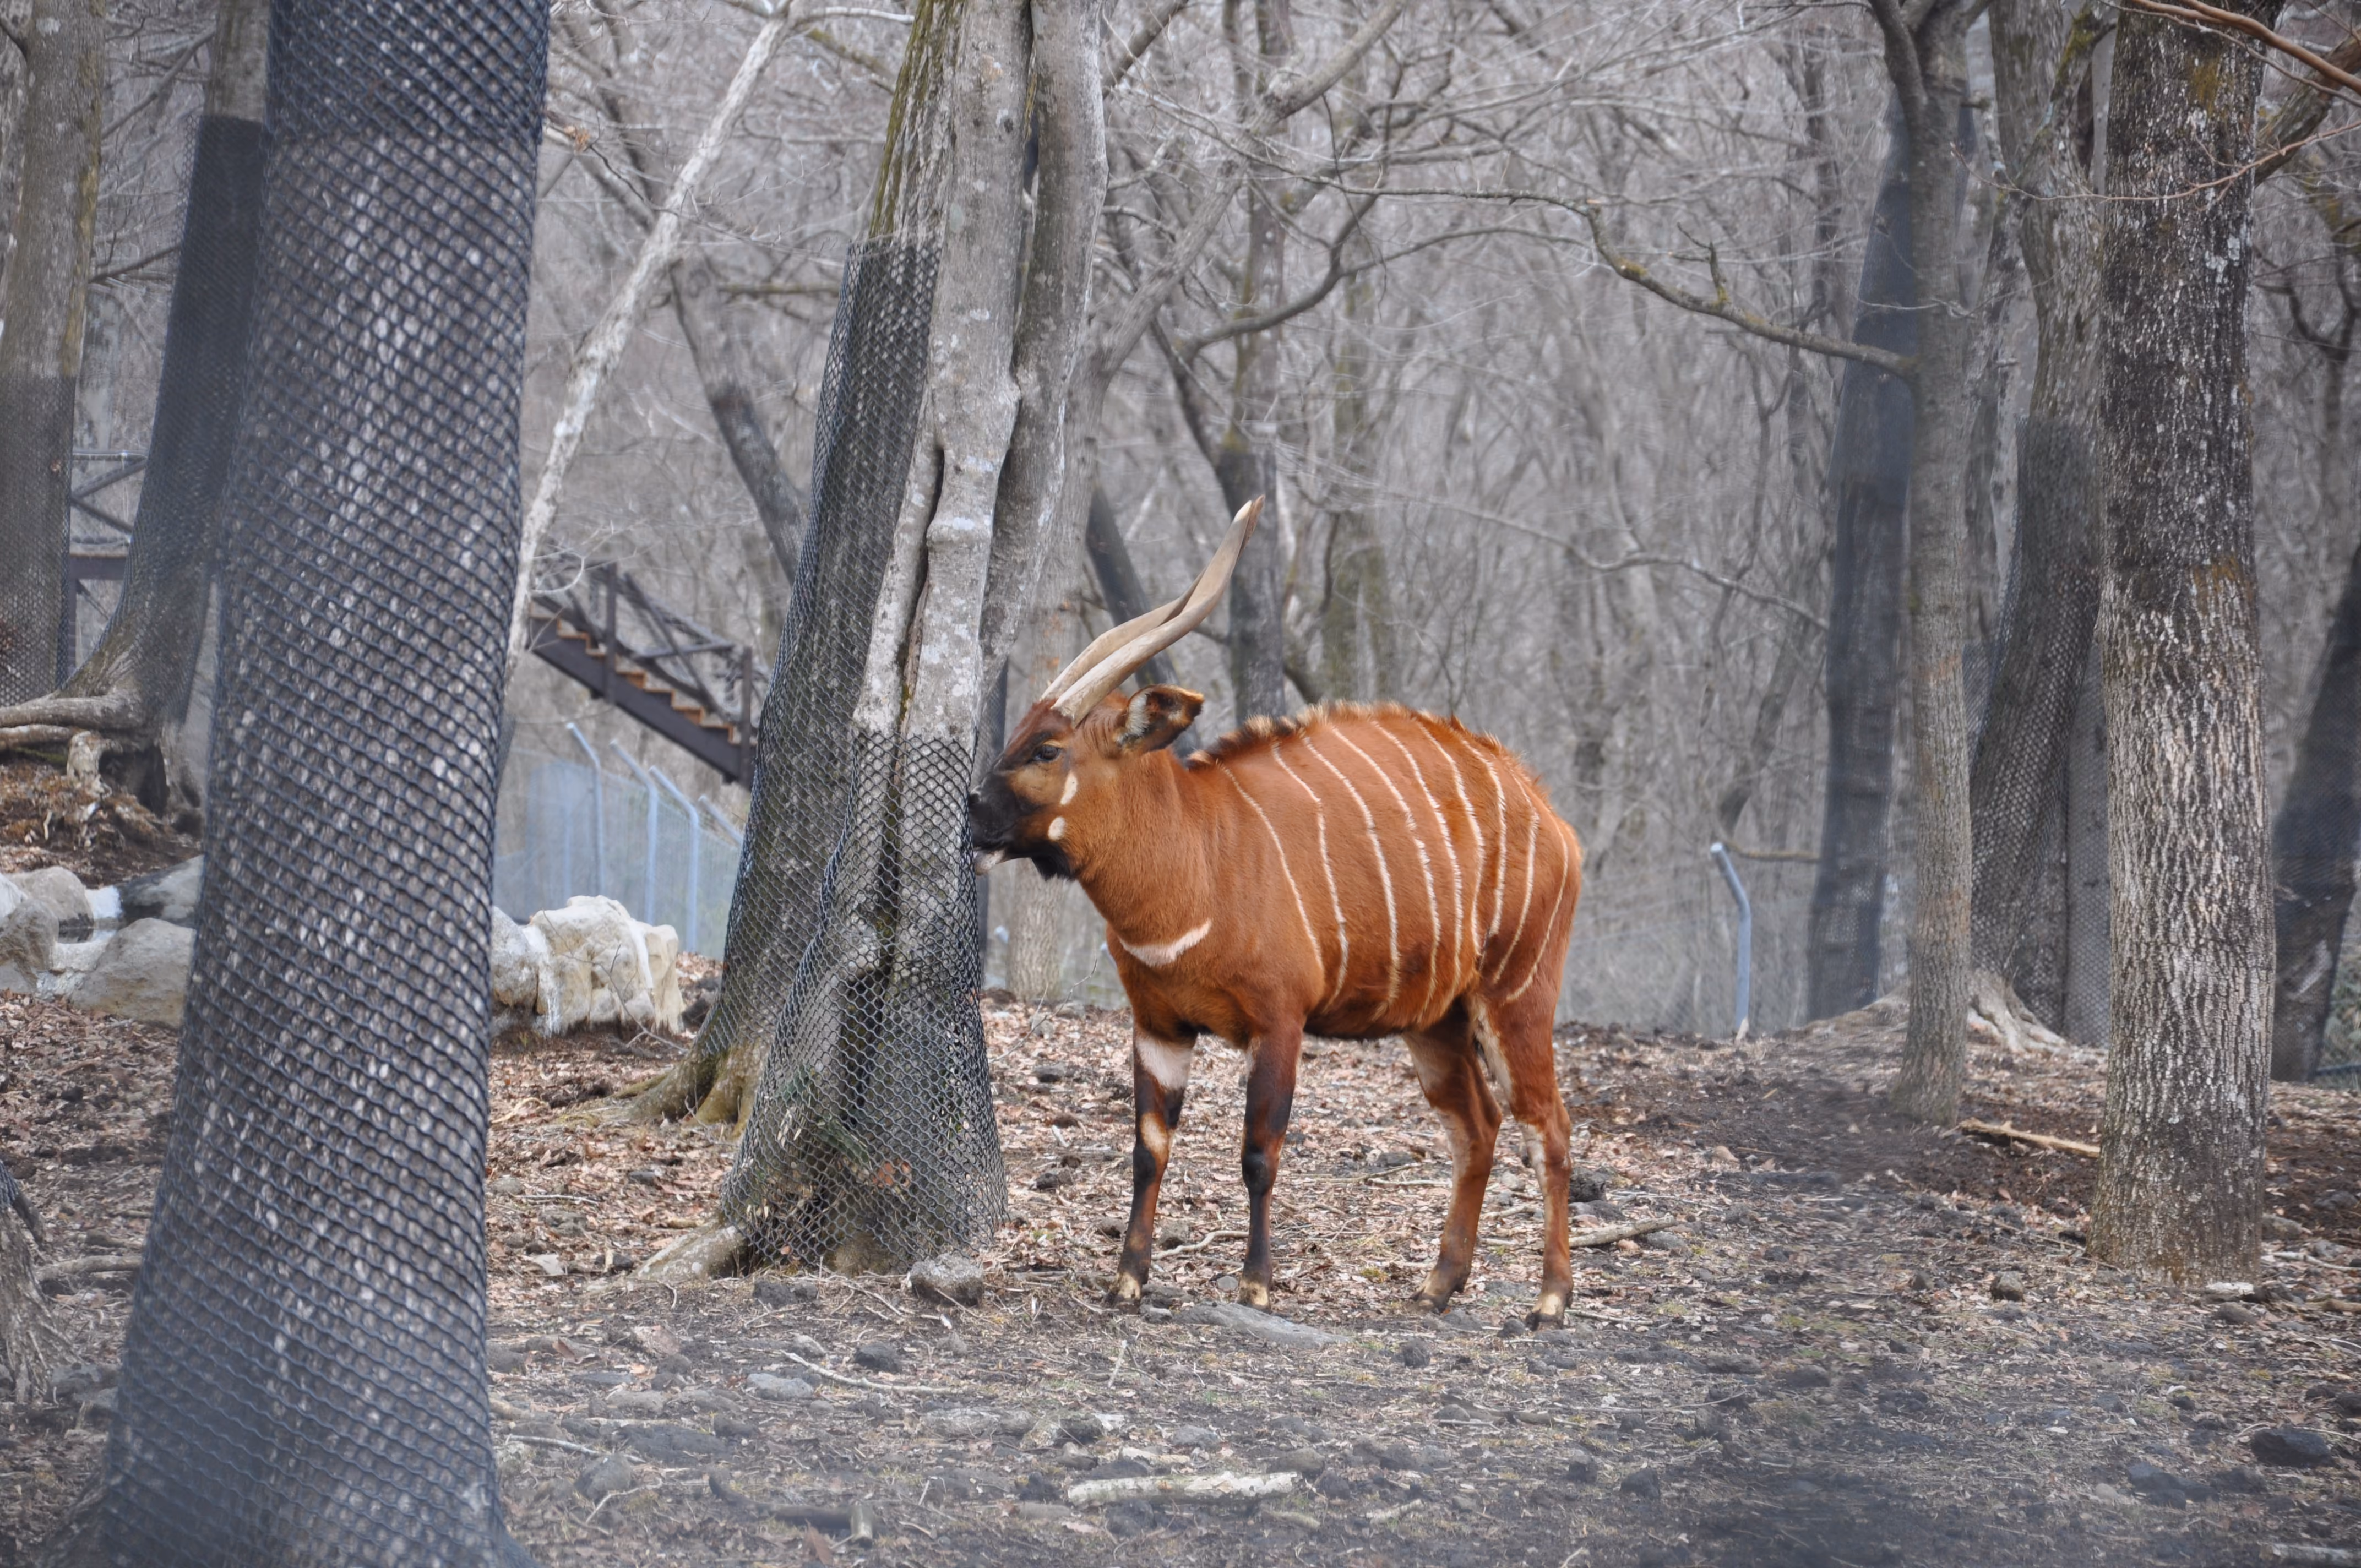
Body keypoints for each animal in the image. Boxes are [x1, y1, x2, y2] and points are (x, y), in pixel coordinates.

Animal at [970, 500, 1585, 1327]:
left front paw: (1256, 1284)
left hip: (1515, 999)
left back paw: (1550, 1300)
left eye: (1046, 749)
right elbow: (1147, 1149)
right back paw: (1437, 1284)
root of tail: (1551, 814)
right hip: (1436, 1022)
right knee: (1477, 1128)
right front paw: (1127, 1280)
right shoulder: (1159, 1025)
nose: (972, 815)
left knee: (1548, 1127)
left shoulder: (1279, 1021)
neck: (1197, 862)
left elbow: (1260, 1152)